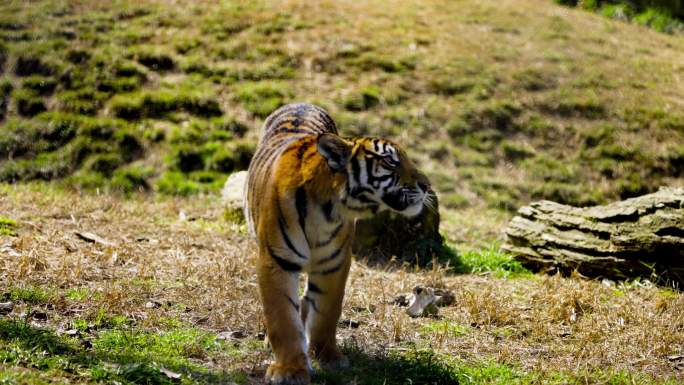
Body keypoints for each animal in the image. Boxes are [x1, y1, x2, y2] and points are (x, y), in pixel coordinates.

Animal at [243, 102, 430, 384]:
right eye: (389, 161)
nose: (427, 186)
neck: (328, 207)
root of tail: (301, 103)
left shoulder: (334, 263)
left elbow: (326, 312)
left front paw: (327, 357)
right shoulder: (277, 261)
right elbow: (282, 318)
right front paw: (290, 369)